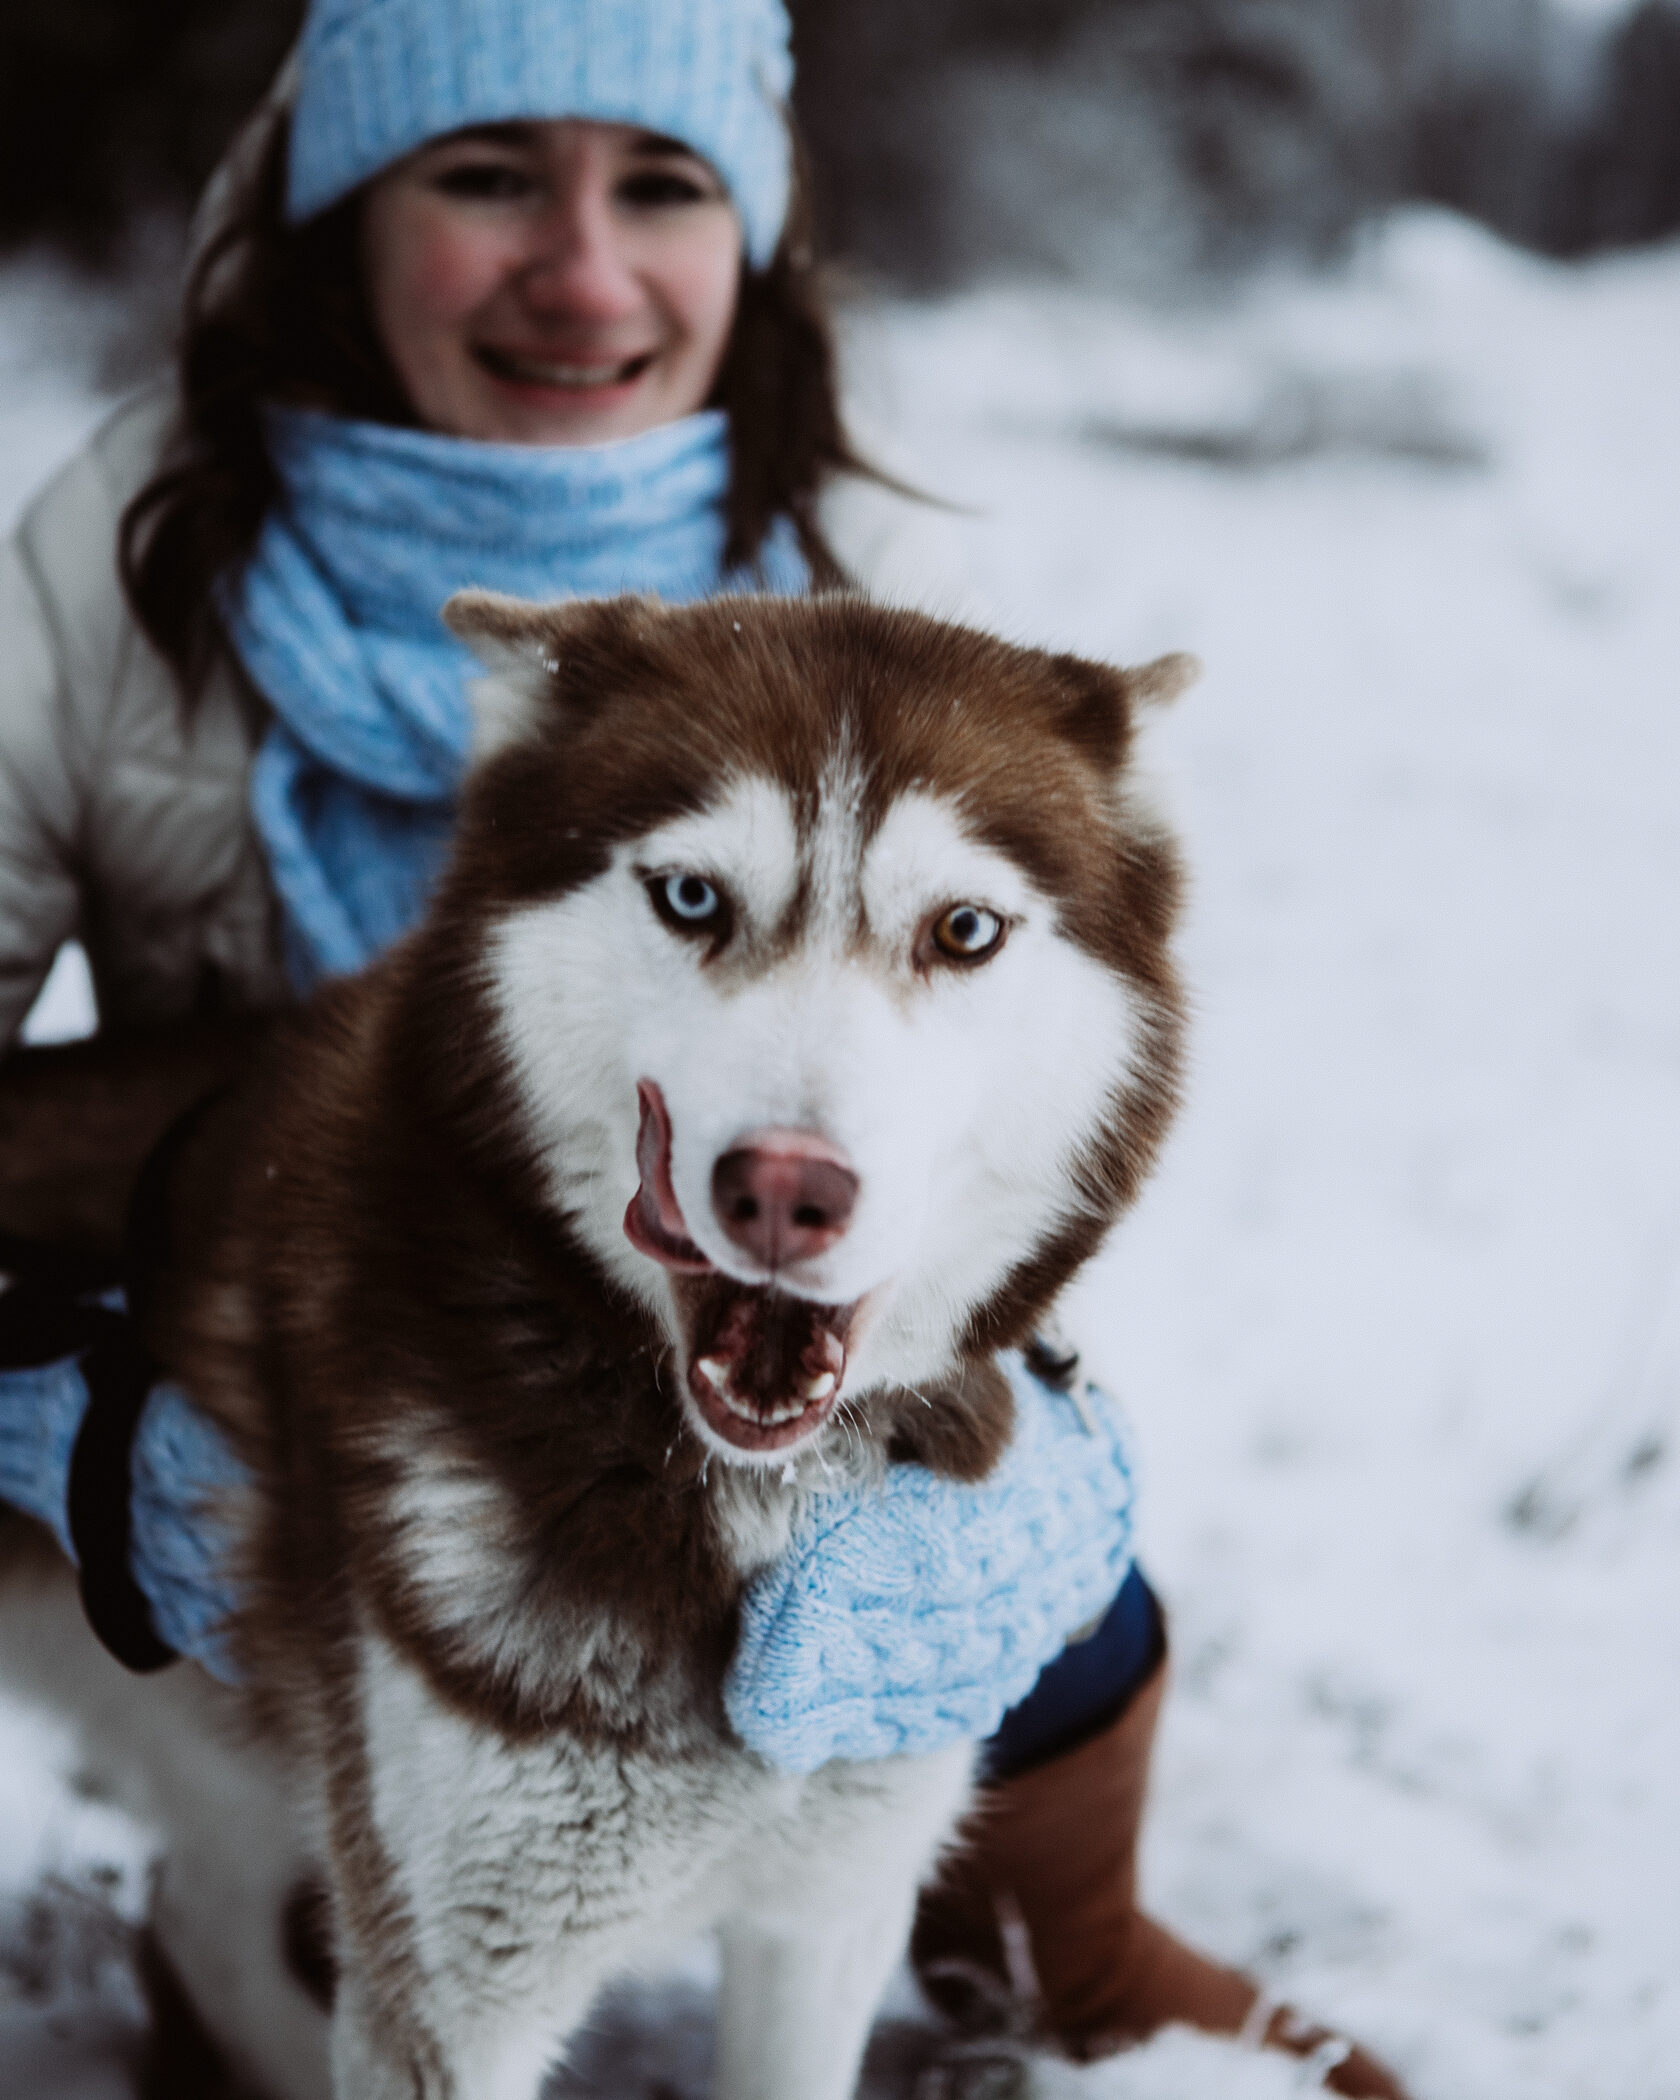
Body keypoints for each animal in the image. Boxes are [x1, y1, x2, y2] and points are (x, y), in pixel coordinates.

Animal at [3, 592, 1192, 2100]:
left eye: (964, 929)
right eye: (690, 897)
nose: (784, 1188)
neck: (740, 1497)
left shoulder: (828, 1915)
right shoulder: (457, 1993)